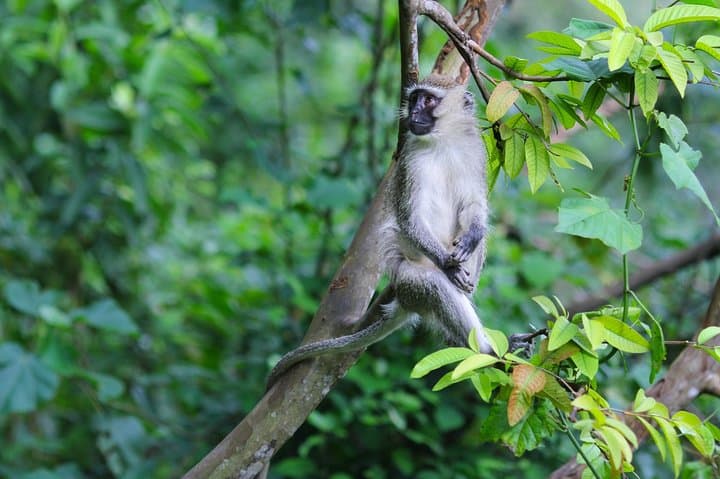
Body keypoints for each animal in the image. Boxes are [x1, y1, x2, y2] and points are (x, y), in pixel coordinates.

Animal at [267, 74, 491, 388]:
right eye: (414, 98)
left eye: (429, 100)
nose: (413, 112)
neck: (442, 141)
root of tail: (404, 302)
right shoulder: (410, 162)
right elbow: (410, 219)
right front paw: (448, 265)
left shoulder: (475, 152)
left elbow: (474, 206)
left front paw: (472, 235)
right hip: (407, 280)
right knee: (432, 285)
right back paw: (486, 350)